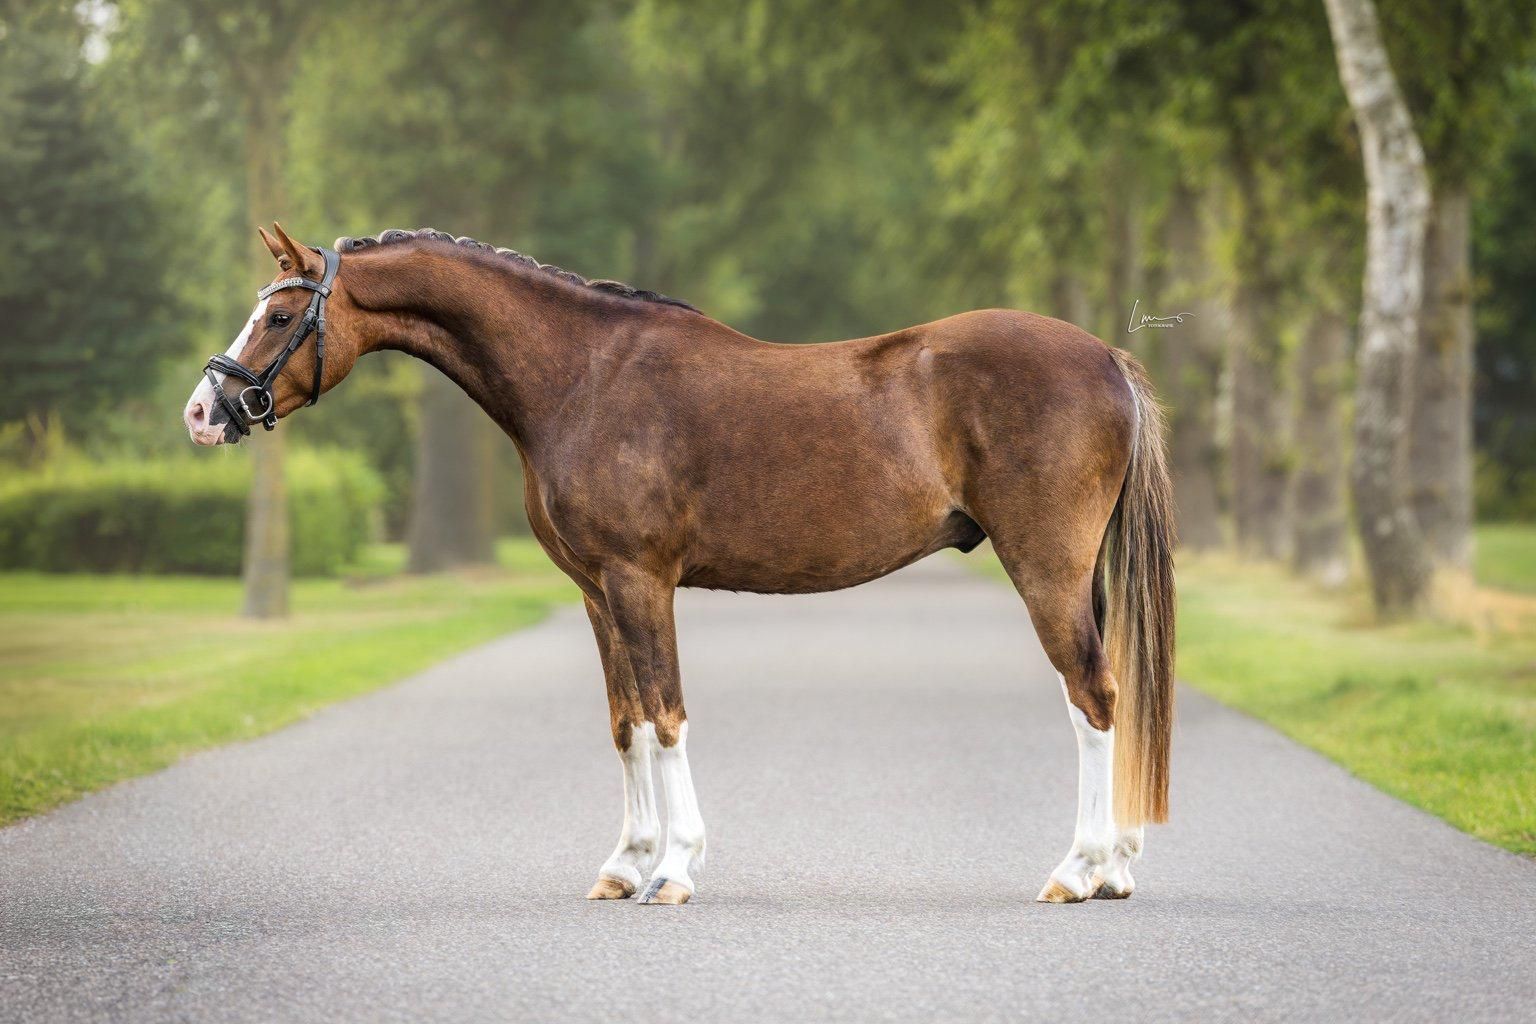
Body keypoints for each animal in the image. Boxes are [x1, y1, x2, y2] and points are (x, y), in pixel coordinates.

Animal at [185, 224, 1175, 906]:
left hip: (1045, 569)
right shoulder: (596, 591)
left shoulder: (639, 579)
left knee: (1092, 696)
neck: (584, 377)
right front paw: (624, 866)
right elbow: (626, 723)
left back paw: (1078, 870)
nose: (204, 411)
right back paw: (1118, 868)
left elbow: (665, 717)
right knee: (1109, 694)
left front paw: (674, 870)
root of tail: (1108, 357)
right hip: (1078, 574)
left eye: (281, 314)